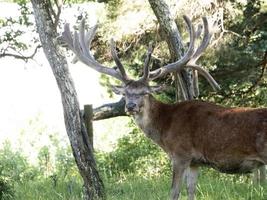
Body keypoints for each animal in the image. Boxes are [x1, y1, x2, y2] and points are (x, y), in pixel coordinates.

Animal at [61, 16, 267, 200]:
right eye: (125, 93)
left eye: (145, 92)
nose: (130, 106)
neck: (165, 128)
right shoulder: (195, 162)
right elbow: (191, 192)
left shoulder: (180, 154)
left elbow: (174, 193)